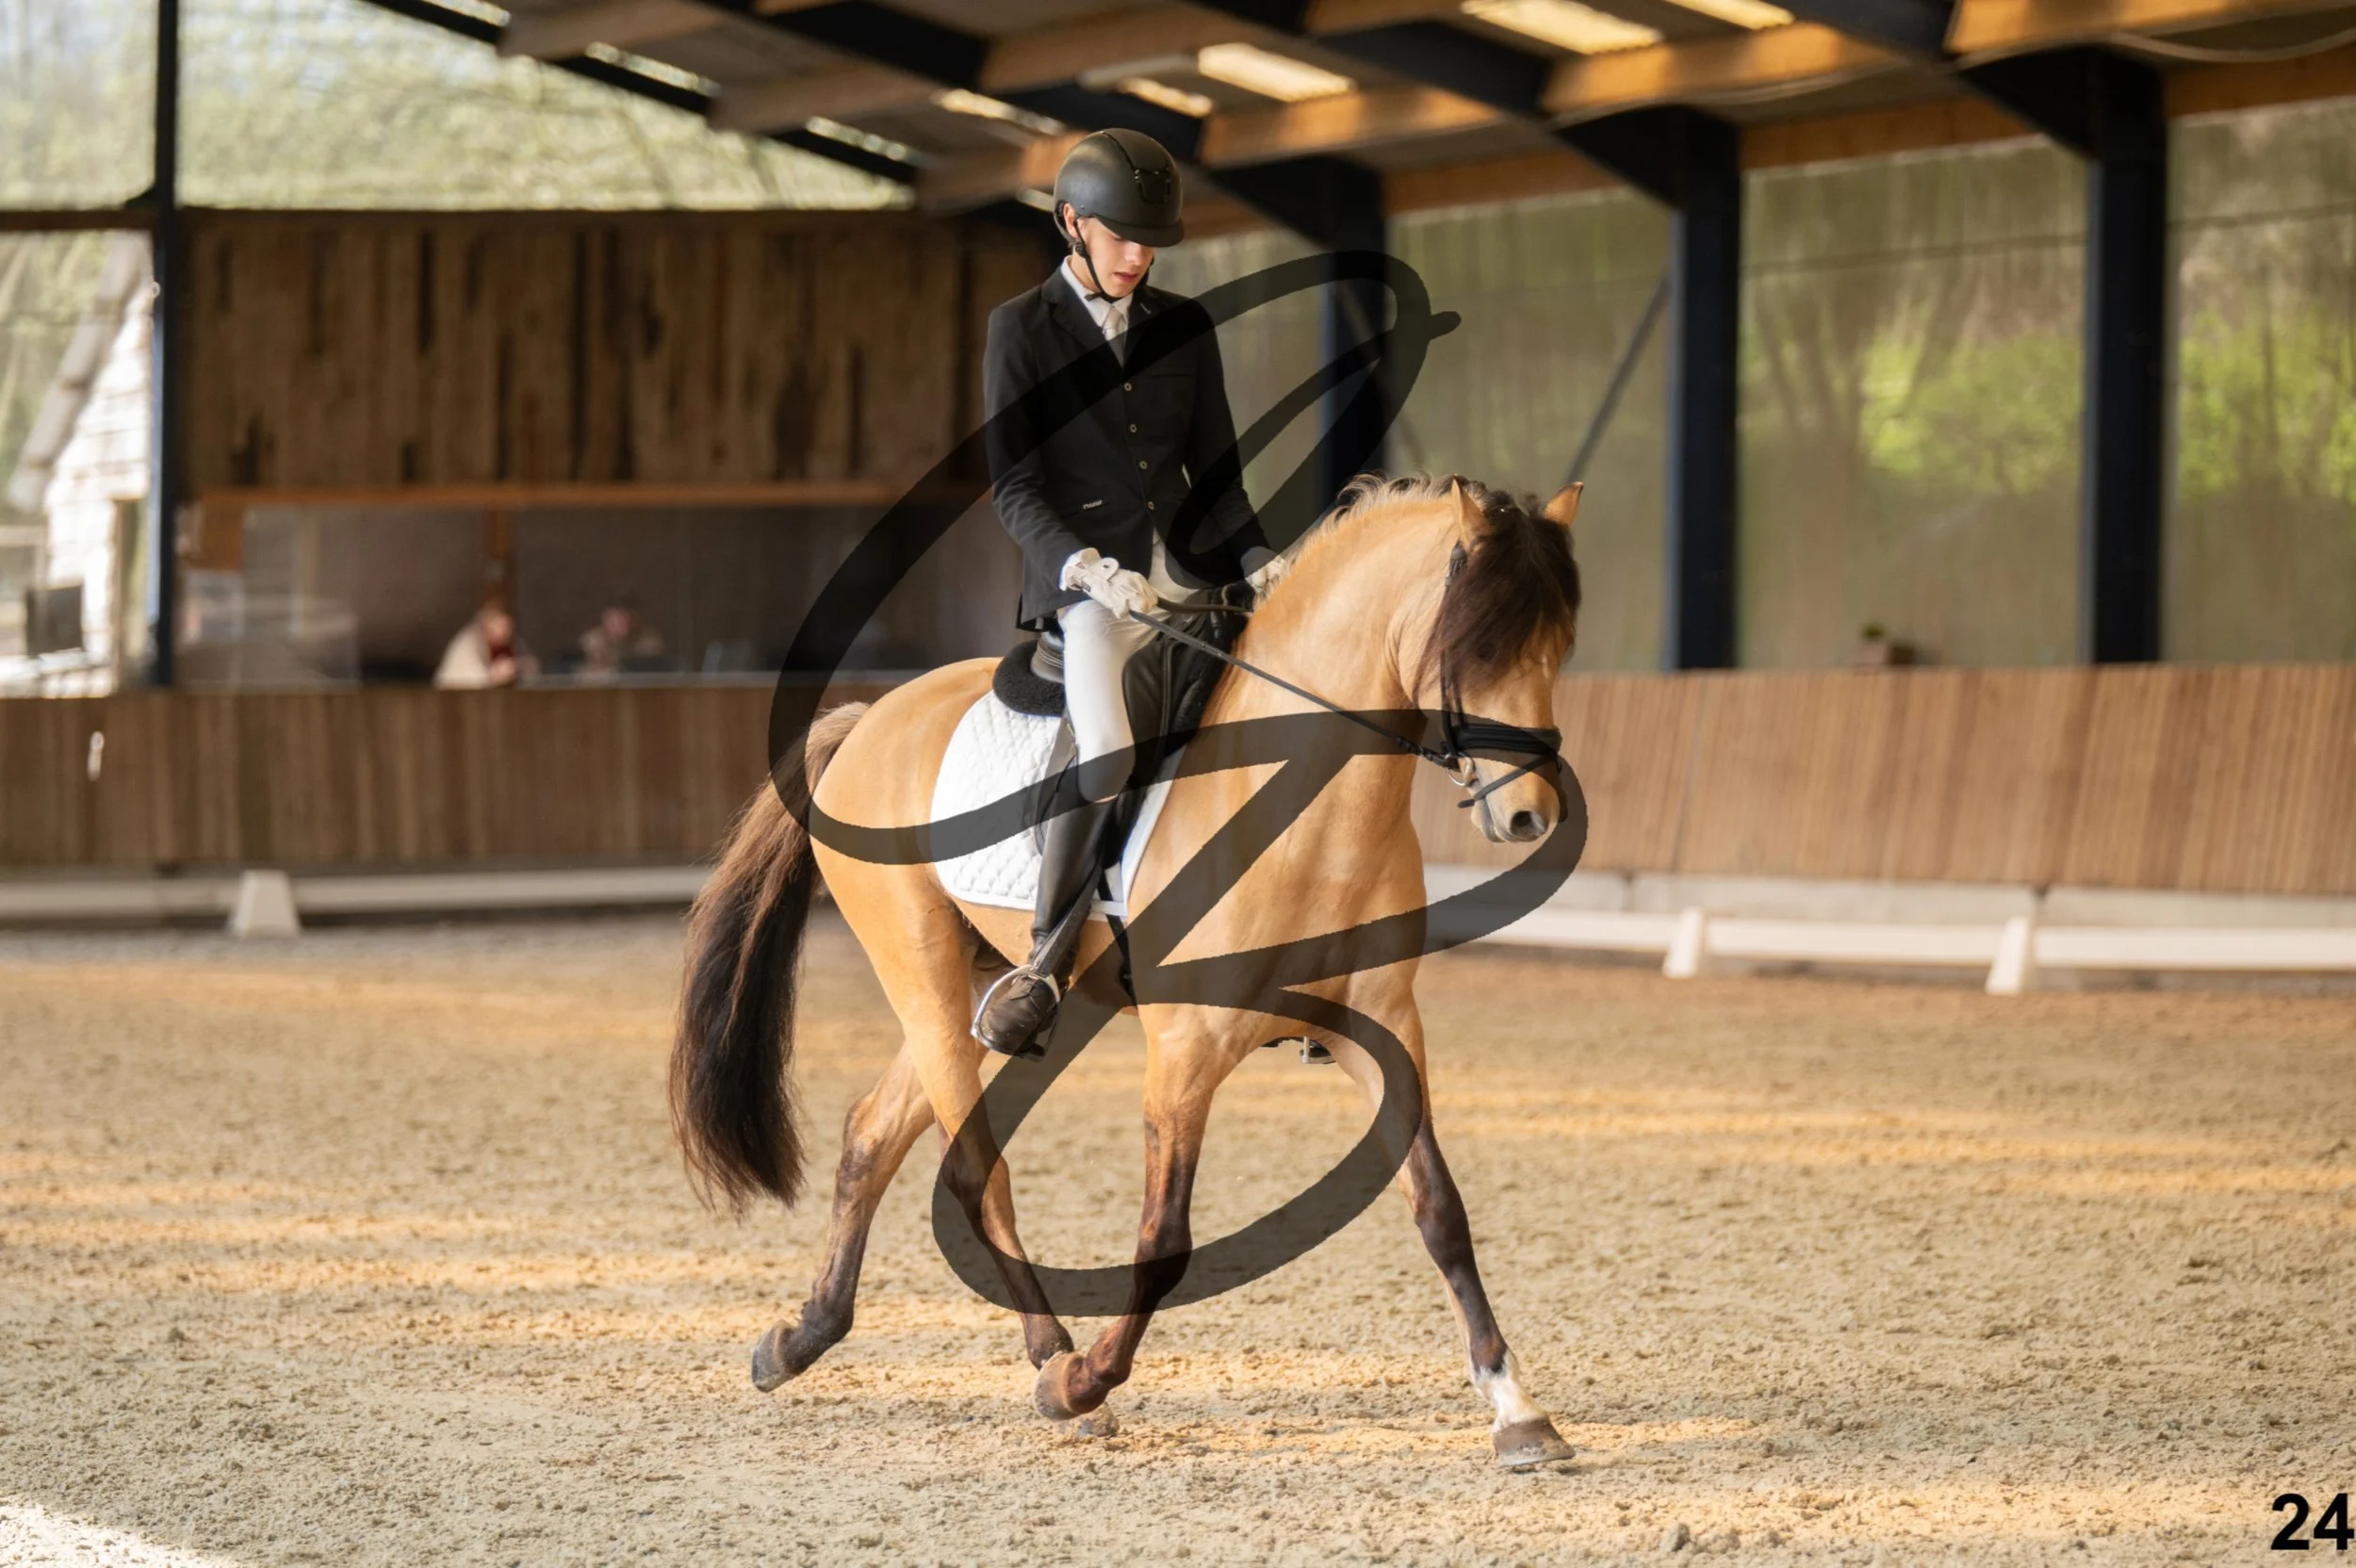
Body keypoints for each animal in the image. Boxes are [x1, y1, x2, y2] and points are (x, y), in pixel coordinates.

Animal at [672, 473, 1586, 1468]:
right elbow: (1165, 1238)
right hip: (918, 969)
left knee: (872, 1133)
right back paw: (1051, 1363)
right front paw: (1085, 1381)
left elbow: (1440, 1211)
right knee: (974, 1171)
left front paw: (1517, 1409)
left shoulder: (1382, 1024)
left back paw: (800, 1338)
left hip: (973, 984)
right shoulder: (1185, 1050)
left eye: (1558, 646)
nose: (1531, 817)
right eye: (1482, 644)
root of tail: (870, 716)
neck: (1306, 811)